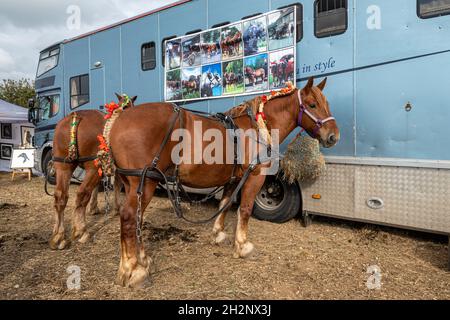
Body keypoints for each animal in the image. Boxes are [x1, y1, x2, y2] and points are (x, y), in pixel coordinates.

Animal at [49, 92, 136, 250]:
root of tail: (75, 117)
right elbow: (117, 185)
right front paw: (116, 208)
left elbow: (98, 186)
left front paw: (94, 207)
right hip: (92, 166)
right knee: (82, 193)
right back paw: (81, 230)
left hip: (63, 166)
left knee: (60, 196)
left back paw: (58, 235)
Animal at [109, 78, 338, 288]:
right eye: (312, 104)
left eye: (326, 103)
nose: (333, 136)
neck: (258, 127)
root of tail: (118, 124)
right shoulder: (255, 176)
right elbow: (245, 209)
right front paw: (243, 246)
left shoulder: (233, 179)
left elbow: (225, 205)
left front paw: (218, 234)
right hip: (144, 182)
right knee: (129, 217)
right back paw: (133, 270)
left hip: (133, 184)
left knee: (135, 218)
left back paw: (138, 261)